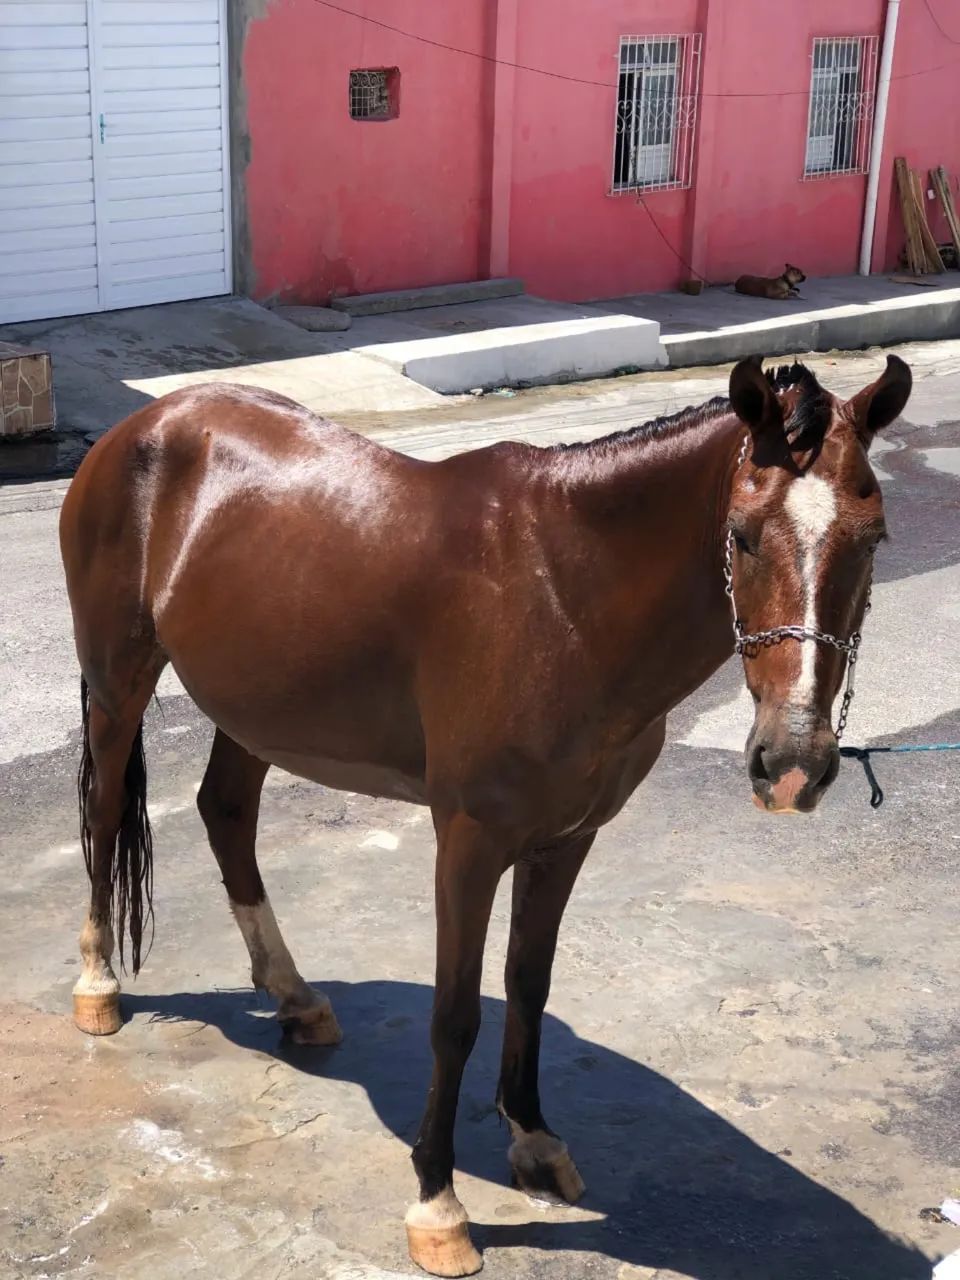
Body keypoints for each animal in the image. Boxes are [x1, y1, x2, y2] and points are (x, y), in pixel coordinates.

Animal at [59, 352, 911, 1277]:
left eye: (873, 539)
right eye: (744, 535)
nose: (793, 764)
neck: (561, 595)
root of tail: (143, 427)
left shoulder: (566, 840)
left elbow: (527, 984)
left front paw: (533, 1139)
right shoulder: (467, 843)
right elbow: (455, 1014)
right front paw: (438, 1202)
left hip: (257, 706)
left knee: (225, 813)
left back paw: (294, 996)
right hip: (119, 681)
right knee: (105, 813)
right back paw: (98, 985)